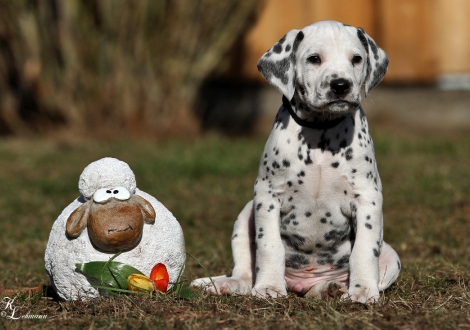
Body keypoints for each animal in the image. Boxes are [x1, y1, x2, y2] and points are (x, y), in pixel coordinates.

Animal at [191, 20, 400, 302]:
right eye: (314, 59)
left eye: (356, 59)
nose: (341, 85)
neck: (320, 131)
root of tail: (301, 283)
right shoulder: (268, 195)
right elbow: (269, 246)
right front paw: (269, 287)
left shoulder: (367, 197)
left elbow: (364, 250)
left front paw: (362, 291)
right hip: (246, 212)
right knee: (244, 274)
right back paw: (224, 284)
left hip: (391, 256)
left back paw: (332, 288)